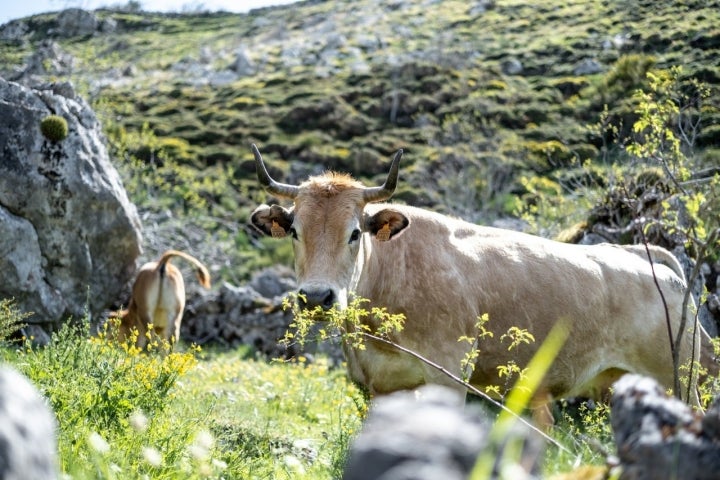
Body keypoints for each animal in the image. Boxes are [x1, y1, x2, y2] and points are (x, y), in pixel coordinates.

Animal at [248, 144, 716, 422]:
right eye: (295, 231)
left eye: (355, 233)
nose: (317, 297)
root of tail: (647, 257)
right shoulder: (378, 386)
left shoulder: (449, 375)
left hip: (679, 380)